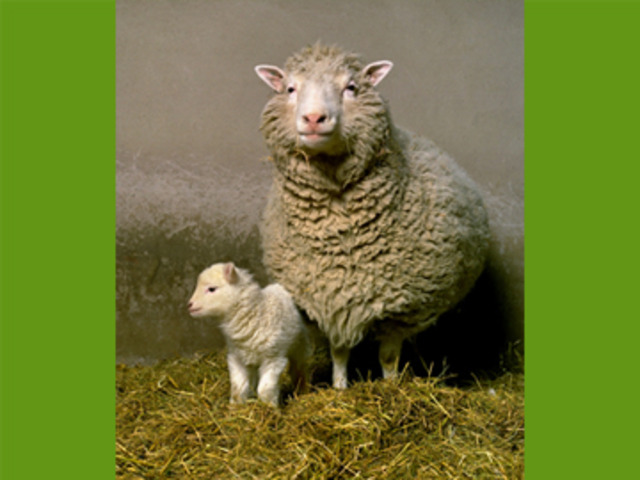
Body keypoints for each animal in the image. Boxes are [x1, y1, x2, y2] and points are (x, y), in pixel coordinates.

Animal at [188, 262, 311, 406]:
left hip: (300, 344)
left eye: (212, 289)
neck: (257, 313)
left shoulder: (273, 358)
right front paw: (236, 406)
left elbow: (265, 389)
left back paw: (302, 389)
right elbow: (238, 387)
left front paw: (269, 407)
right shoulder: (237, 358)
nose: (189, 305)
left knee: (299, 367)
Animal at [254, 44, 490, 389]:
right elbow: (339, 353)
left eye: (351, 87)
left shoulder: (400, 309)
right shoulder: (332, 298)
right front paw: (340, 389)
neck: (340, 234)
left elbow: (388, 357)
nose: (314, 118)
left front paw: (392, 388)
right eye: (290, 89)